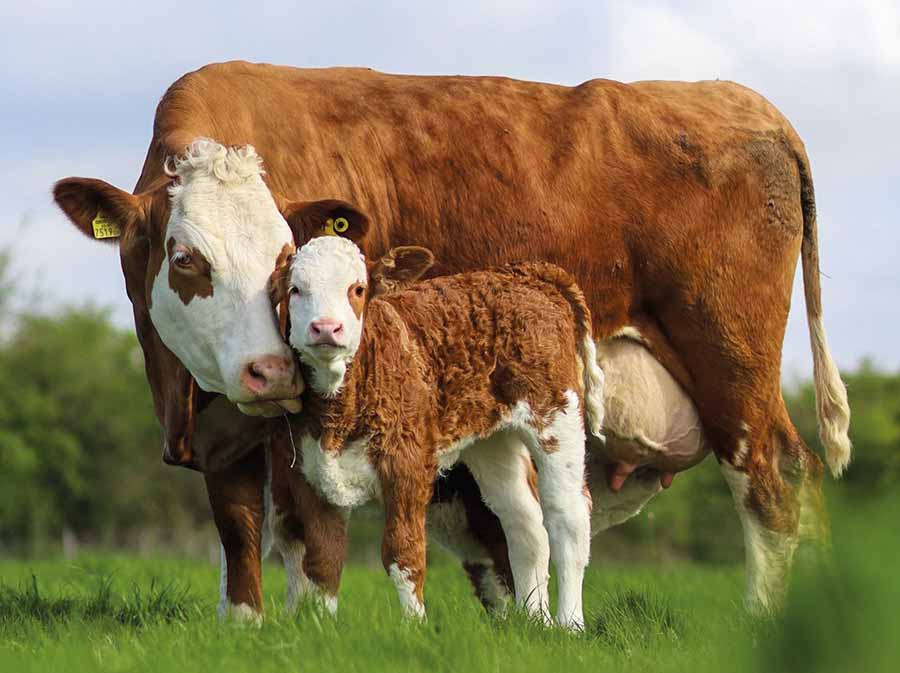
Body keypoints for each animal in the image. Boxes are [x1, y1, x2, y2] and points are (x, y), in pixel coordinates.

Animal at [52, 61, 850, 619]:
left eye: (284, 253)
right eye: (185, 258)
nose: (273, 370)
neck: (188, 399)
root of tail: (746, 104)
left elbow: (305, 539)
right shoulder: (223, 435)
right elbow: (243, 541)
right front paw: (251, 631)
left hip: (731, 368)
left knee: (773, 483)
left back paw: (766, 621)